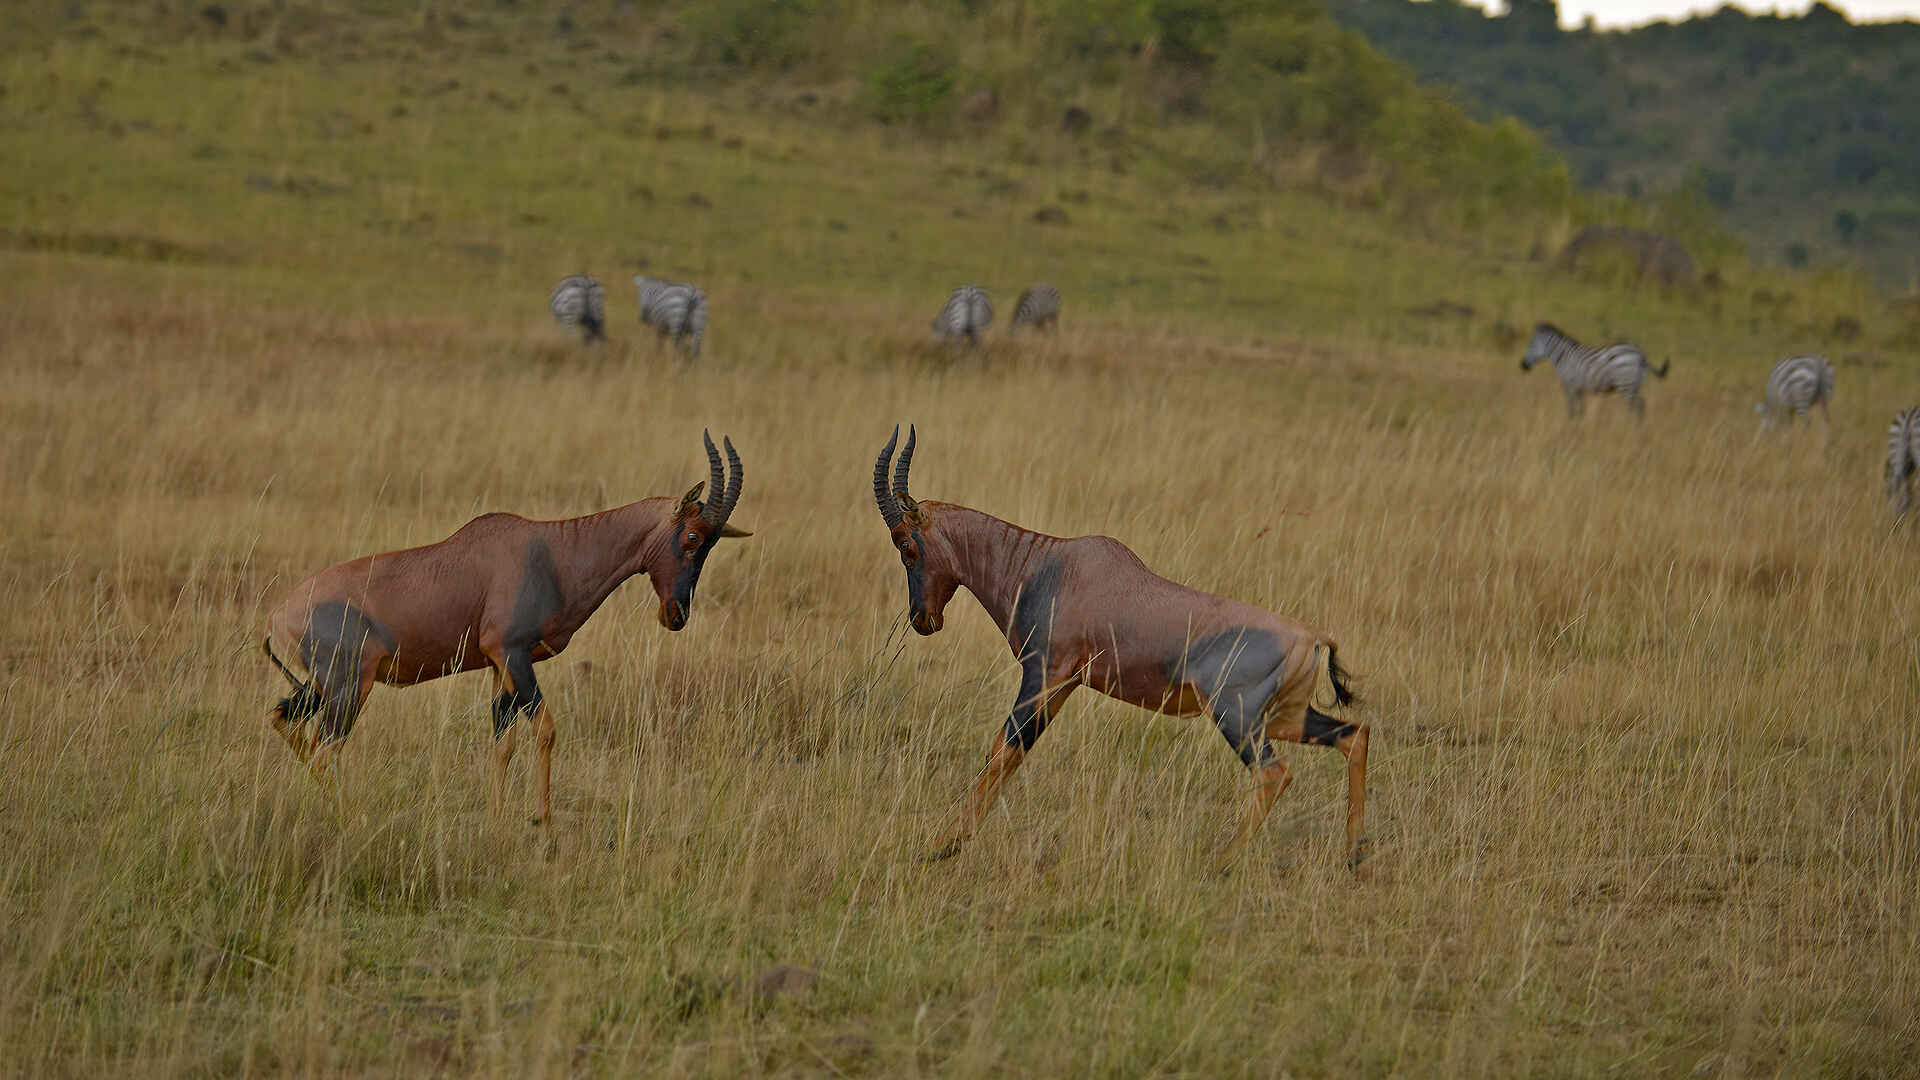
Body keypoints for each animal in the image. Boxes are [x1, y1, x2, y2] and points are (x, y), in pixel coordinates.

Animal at [1520, 322, 1668, 420]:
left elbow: (1571, 409)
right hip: (1635, 384)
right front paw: (1579, 426)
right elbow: (1581, 410)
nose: (1522, 366)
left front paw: (1570, 427)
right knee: (1641, 405)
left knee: (1636, 407)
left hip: (1626, 385)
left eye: (1531, 345)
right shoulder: (1579, 388)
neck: (1563, 356)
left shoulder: (1569, 385)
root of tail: (1640, 353)